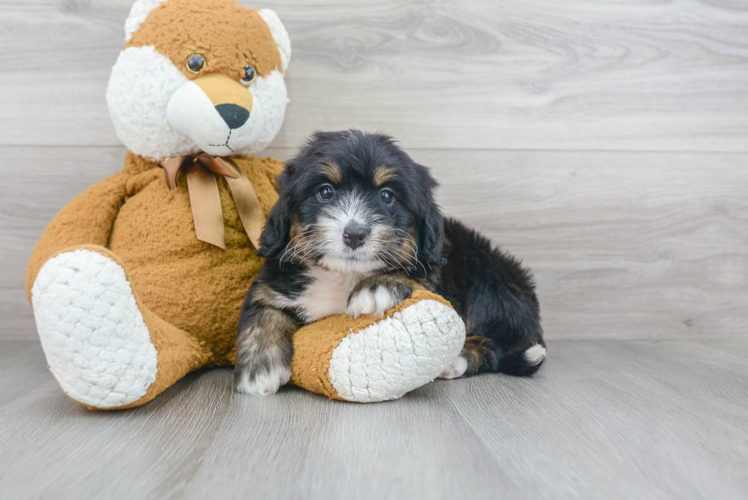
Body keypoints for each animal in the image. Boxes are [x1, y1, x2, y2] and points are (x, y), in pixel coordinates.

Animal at [237, 131, 548, 396]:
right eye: (325, 192)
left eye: (387, 195)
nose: (354, 234)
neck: (344, 275)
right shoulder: (273, 282)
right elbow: (262, 312)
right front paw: (259, 368)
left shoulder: (435, 271)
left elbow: (412, 275)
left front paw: (378, 286)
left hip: (486, 275)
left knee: (496, 345)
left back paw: (456, 361)